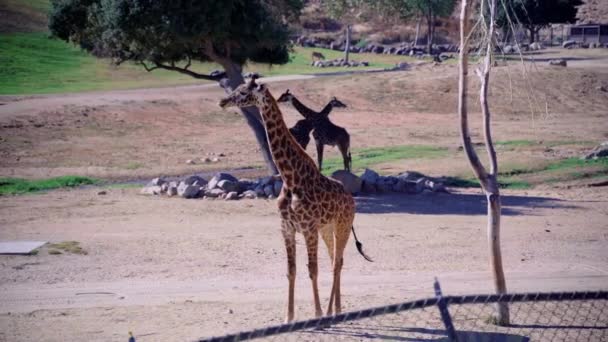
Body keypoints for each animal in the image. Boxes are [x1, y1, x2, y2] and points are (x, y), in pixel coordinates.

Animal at [218, 77, 370, 324]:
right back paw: (335, 310)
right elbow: (292, 271)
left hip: (343, 225)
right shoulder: (287, 228)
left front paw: (317, 314)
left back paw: (330, 311)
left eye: (242, 92)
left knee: (336, 263)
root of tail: (350, 198)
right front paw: (289, 317)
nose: (222, 101)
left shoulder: (308, 228)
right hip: (327, 228)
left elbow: (312, 269)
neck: (291, 178)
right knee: (335, 260)